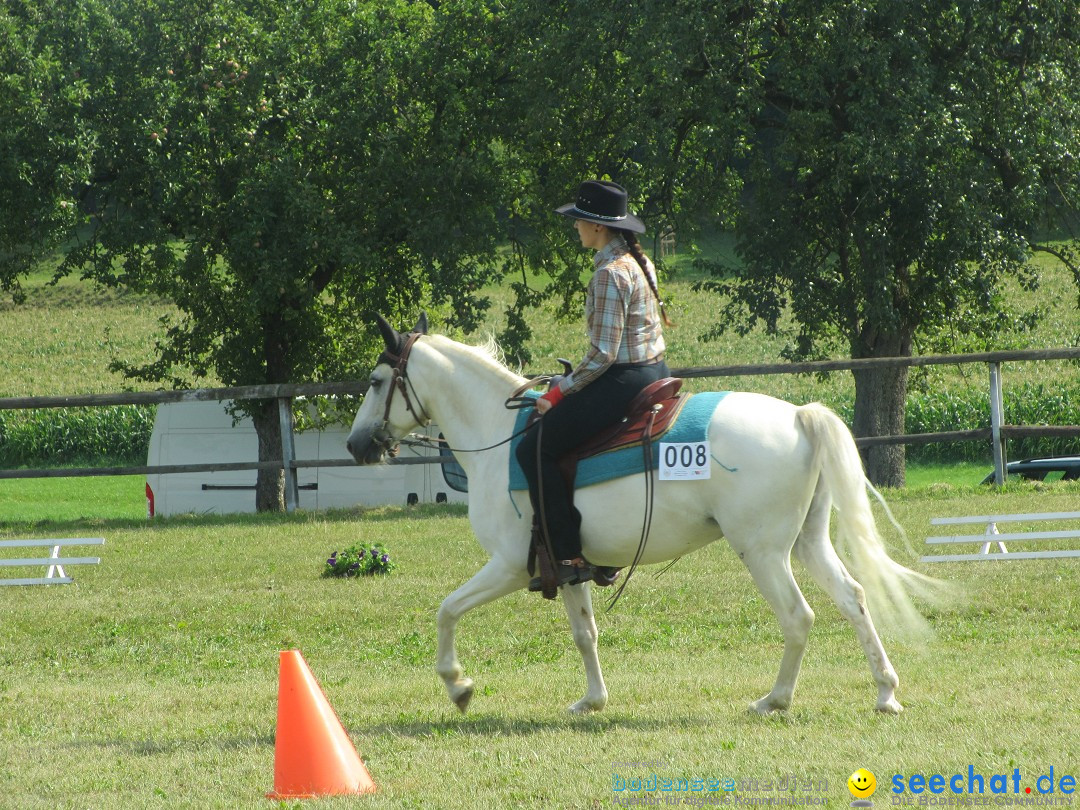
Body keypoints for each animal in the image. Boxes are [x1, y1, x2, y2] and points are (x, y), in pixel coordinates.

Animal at [347, 315, 937, 717]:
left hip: (764, 552)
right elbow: (585, 634)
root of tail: (797, 415)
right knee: (853, 598)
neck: (499, 437)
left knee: (798, 616)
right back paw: (885, 692)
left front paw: (458, 685)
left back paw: (775, 699)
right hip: (807, 543)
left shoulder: (511, 565)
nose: (355, 445)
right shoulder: (566, 564)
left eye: (375, 382)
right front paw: (592, 700)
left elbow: (447, 610)